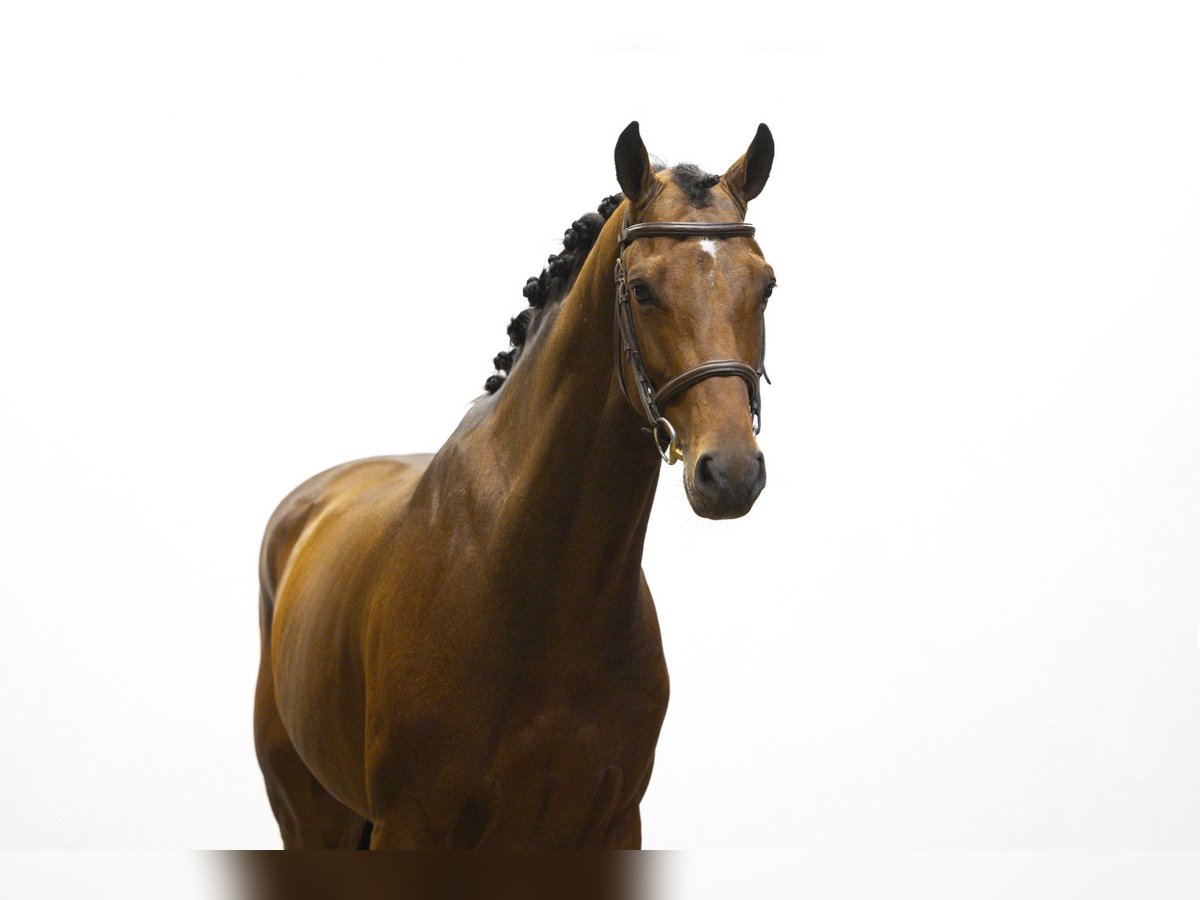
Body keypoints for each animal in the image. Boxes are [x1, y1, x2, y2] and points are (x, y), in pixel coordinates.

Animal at [254, 121, 777, 849]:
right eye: (642, 290)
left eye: (766, 286)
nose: (729, 472)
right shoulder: (411, 826)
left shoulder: (612, 825)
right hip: (311, 819)